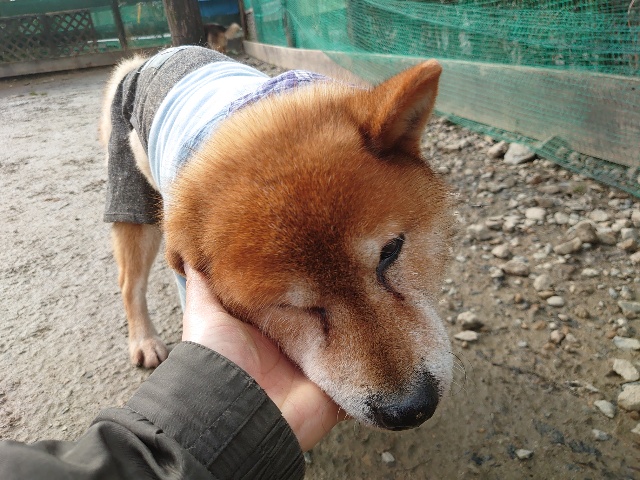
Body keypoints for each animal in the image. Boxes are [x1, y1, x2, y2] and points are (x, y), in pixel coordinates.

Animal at [99, 46, 454, 430]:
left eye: (390, 252)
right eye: (289, 306)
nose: (410, 409)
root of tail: (151, 57)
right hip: (133, 207)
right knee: (129, 285)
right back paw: (144, 340)